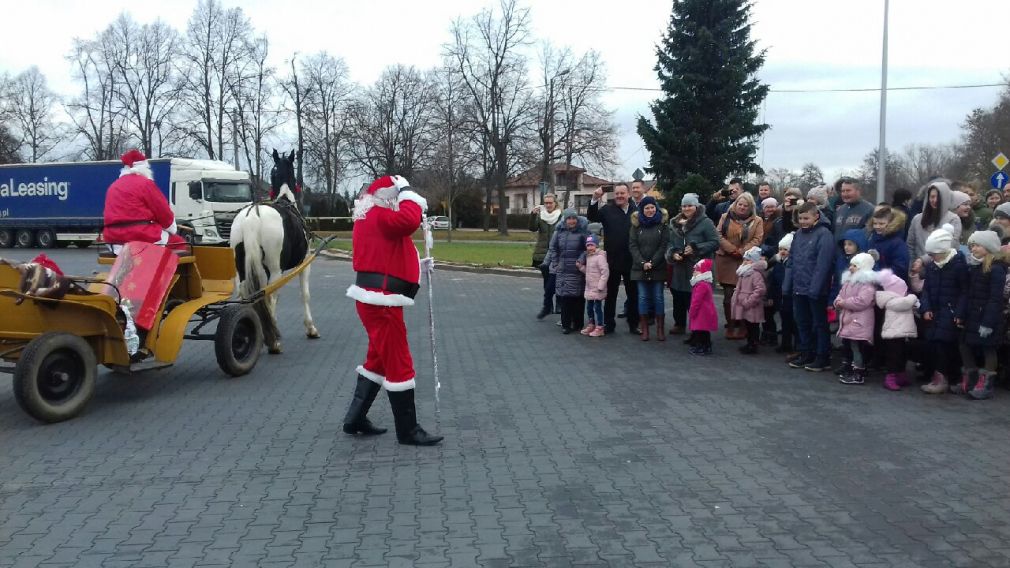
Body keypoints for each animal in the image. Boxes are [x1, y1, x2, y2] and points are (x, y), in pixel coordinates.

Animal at [230, 148, 317, 351]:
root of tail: (251, 217)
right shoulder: (304, 263)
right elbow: (305, 295)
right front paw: (310, 328)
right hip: (275, 271)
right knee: (269, 296)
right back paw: (273, 340)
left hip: (242, 269)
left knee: (246, 295)